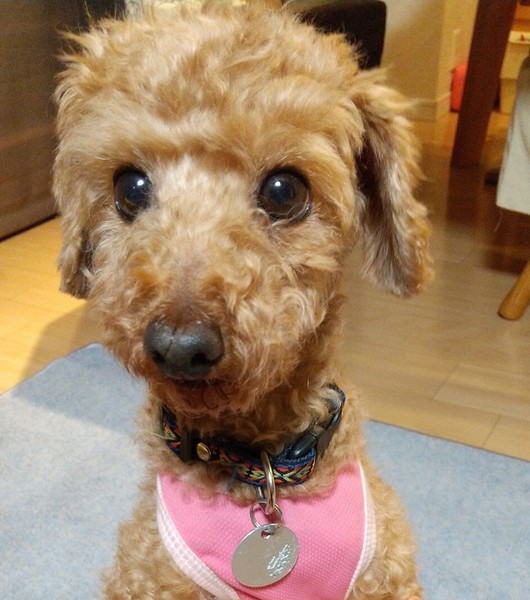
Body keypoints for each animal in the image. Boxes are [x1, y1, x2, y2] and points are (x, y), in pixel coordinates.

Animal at [53, 1, 431, 598]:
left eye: (285, 190)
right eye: (129, 187)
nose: (179, 346)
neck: (262, 469)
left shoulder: (384, 574)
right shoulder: (150, 574)